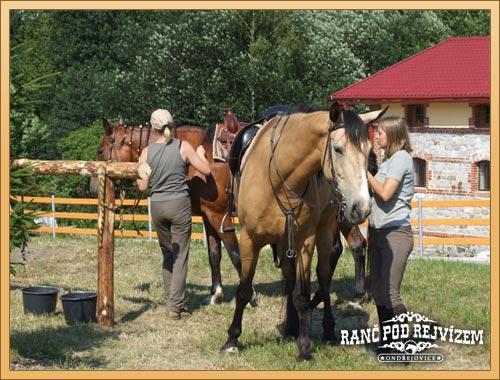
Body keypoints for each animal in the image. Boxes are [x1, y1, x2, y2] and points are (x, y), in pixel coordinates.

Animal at [93, 117, 245, 304]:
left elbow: (235, 254)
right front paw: (215, 294)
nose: (93, 187)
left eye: (100, 151)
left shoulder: (220, 215)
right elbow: (214, 254)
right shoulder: (208, 215)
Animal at [220, 102, 386, 360]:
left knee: (325, 277)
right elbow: (244, 290)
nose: (362, 207)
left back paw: (327, 328)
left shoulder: (305, 240)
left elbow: (302, 293)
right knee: (290, 278)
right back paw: (290, 325)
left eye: (368, 151)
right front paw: (232, 339)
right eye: (337, 149)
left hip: (326, 230)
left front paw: (305, 346)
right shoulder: (249, 239)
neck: (278, 178)